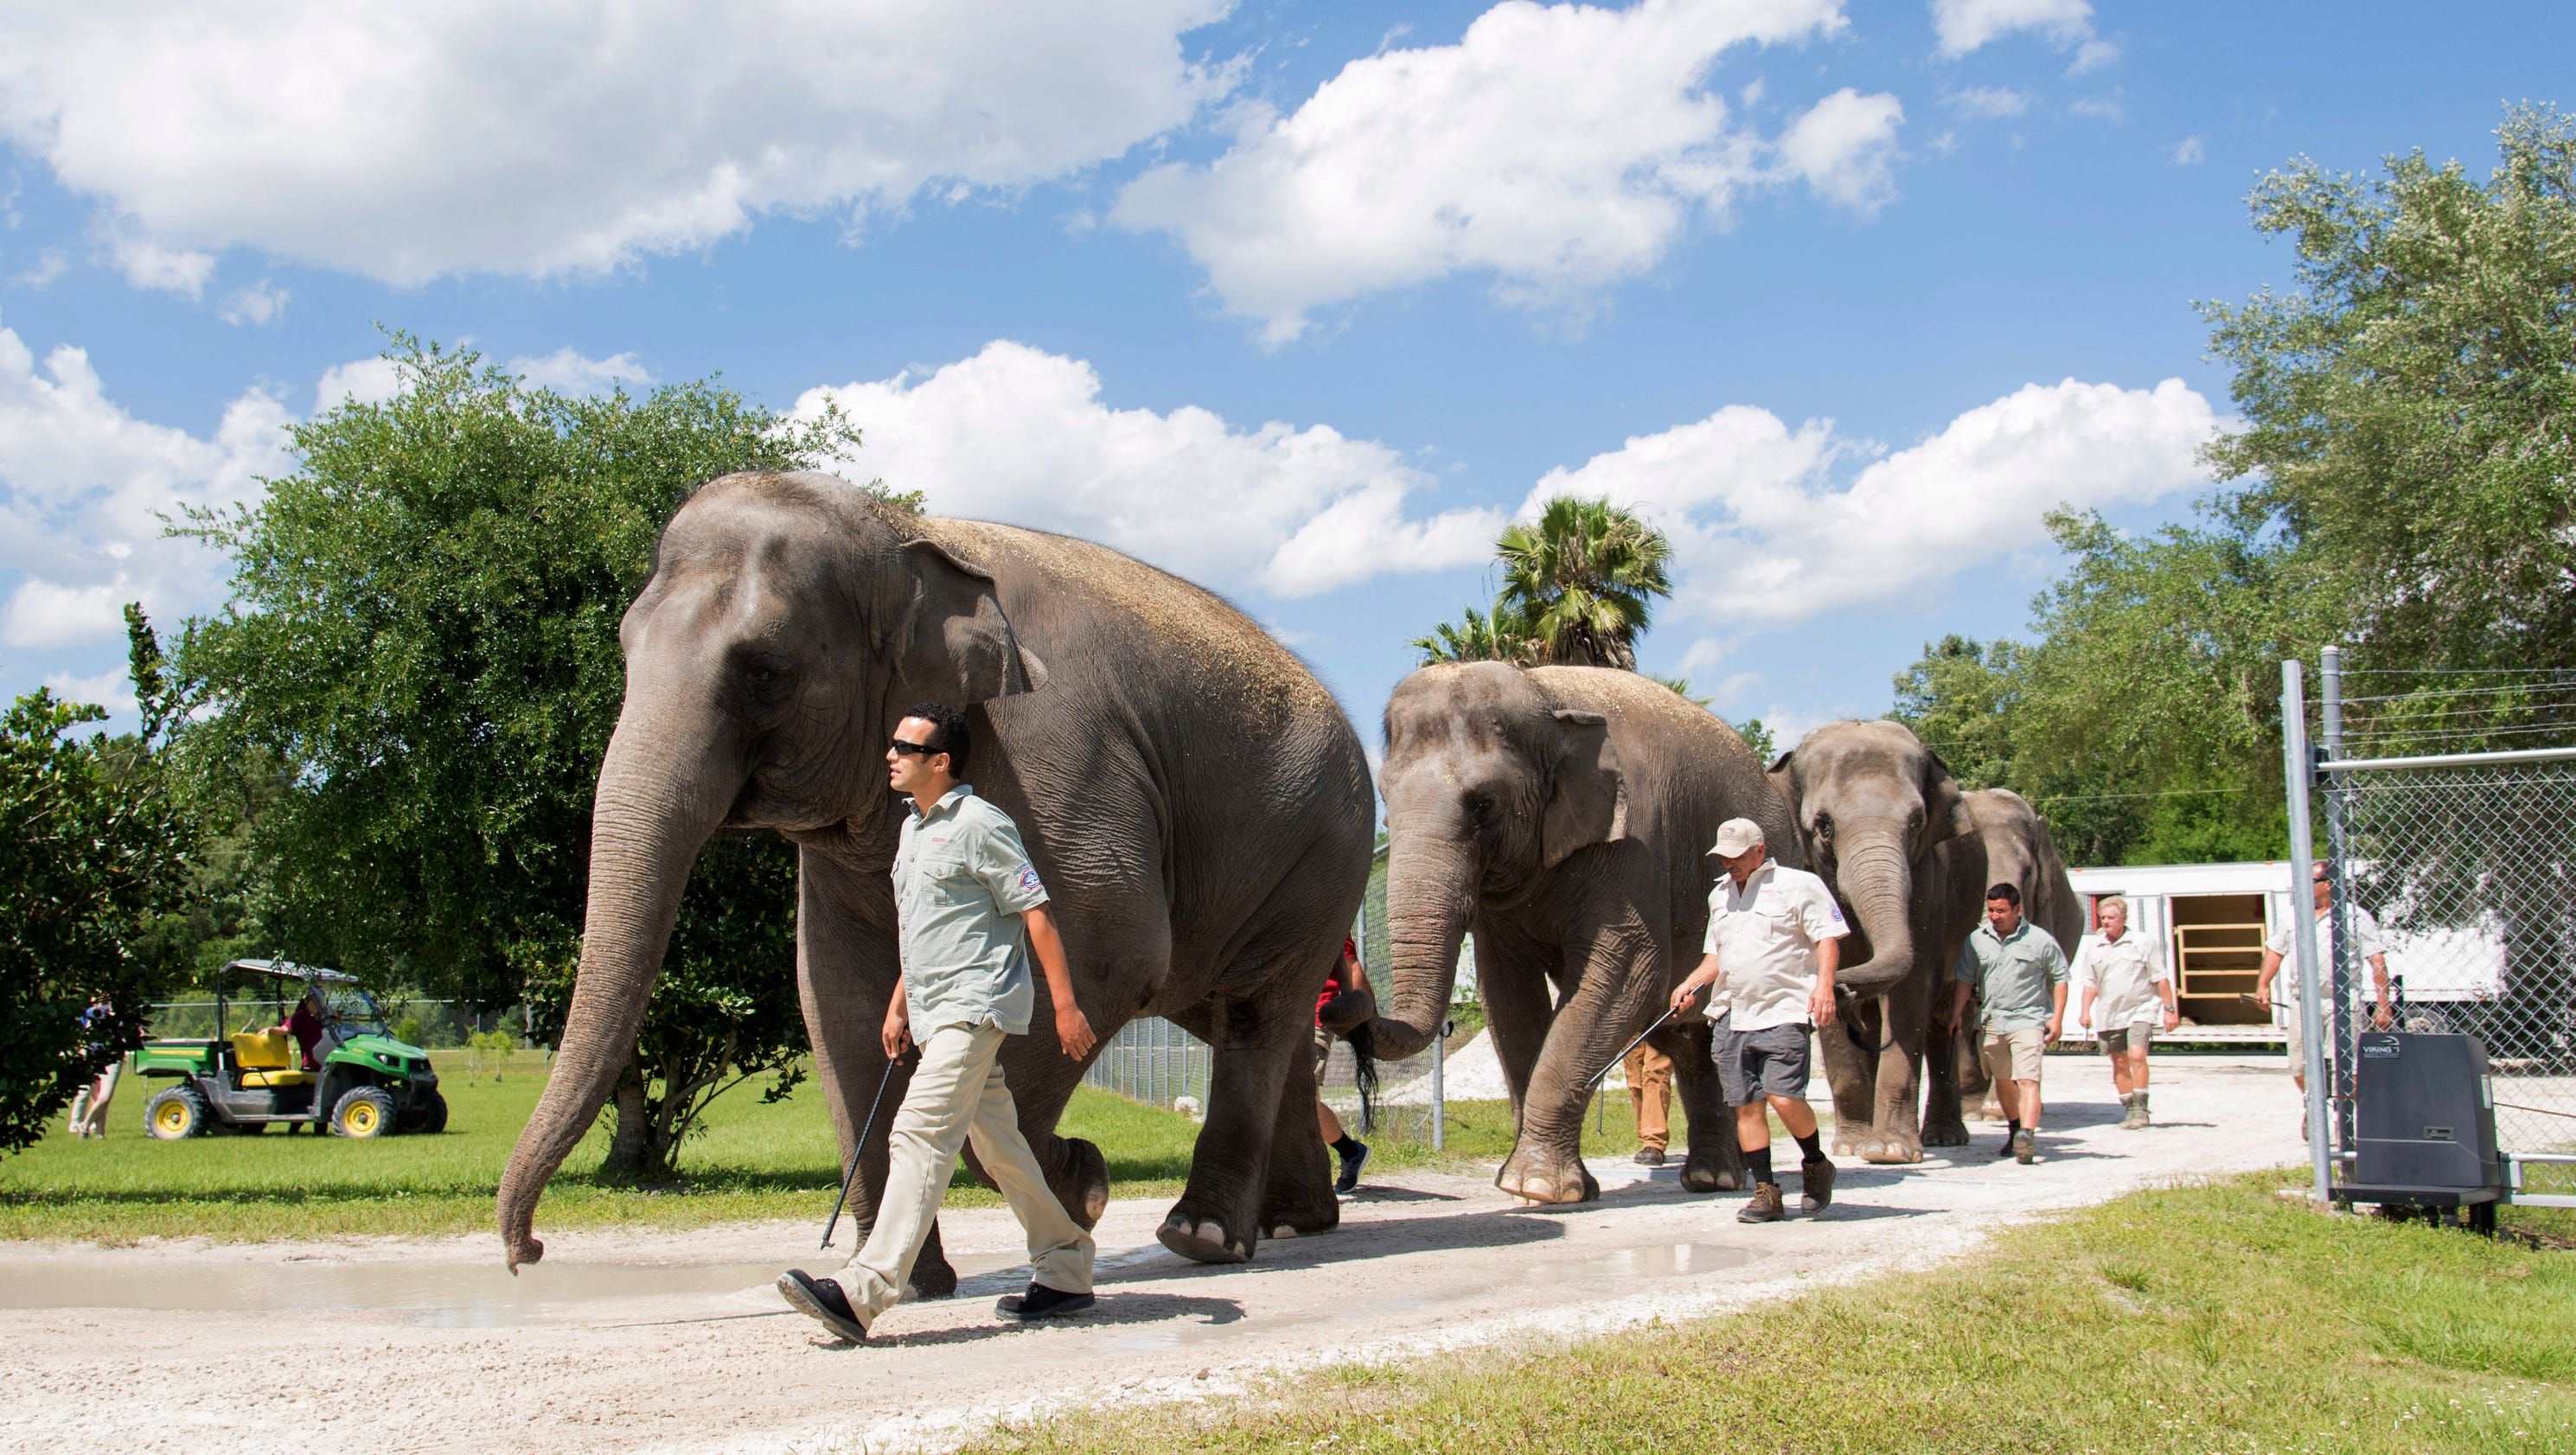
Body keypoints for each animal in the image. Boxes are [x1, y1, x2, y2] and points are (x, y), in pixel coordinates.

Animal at [495, 470, 1374, 1280]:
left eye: (765, 671)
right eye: (623, 648)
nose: (528, 1251)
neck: (906, 534)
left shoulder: (1057, 754)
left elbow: (1110, 947)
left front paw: (1079, 1180)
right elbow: (833, 988)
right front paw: (910, 1280)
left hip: (1322, 851)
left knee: (1256, 1016)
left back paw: (1202, 1237)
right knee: (1254, 1020)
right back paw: (1293, 1222)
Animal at [1370, 662, 1794, 1203]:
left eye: (1483, 803)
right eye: (1385, 801)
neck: (1548, 698)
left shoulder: (1637, 839)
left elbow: (1628, 970)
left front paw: (1538, 1188)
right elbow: (1507, 996)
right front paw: (1524, 1186)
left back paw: (1720, 1178)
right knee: (1687, 1034)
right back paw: (1711, 1178)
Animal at [1764, 720, 1980, 1164]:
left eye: (1916, 822)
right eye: (1824, 825)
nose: (1844, 987)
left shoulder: (1929, 880)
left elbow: (1912, 989)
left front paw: (1890, 1151)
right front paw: (1850, 1147)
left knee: (1941, 1019)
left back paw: (1943, 1137)